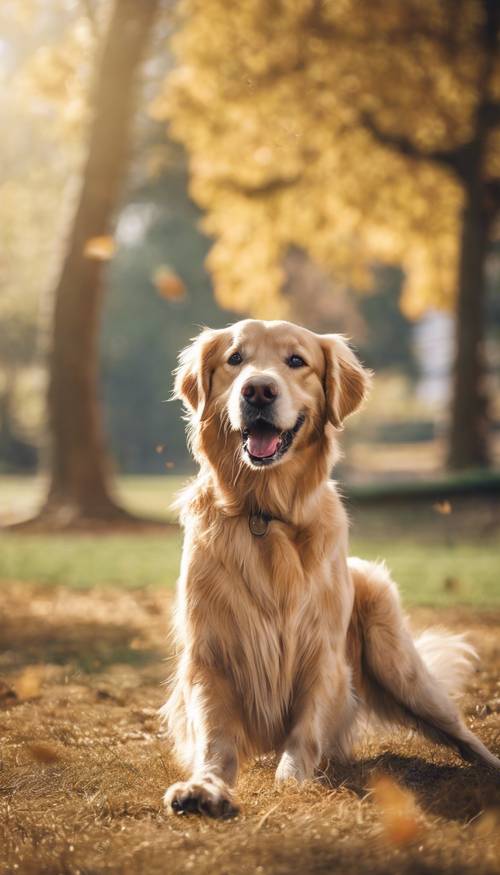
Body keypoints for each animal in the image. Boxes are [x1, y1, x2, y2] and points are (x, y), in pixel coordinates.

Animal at [162, 318, 498, 816]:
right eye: (235, 359)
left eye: (296, 360)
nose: (258, 390)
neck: (265, 515)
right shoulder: (209, 656)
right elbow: (214, 739)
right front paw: (205, 787)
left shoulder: (321, 653)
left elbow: (304, 730)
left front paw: (292, 780)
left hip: (401, 668)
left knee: (461, 731)